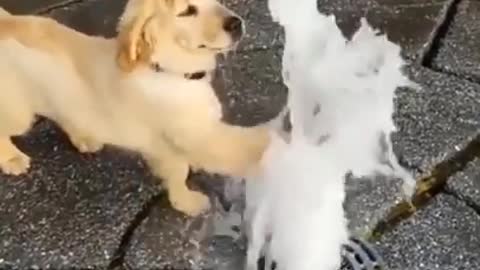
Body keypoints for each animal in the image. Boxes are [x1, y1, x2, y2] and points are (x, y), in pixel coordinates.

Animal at [0, 0, 270, 215]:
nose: (236, 23)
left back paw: (84, 136)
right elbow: (194, 166)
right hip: (20, 112)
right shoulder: (185, 142)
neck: (168, 72)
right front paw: (188, 202)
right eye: (187, 11)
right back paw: (12, 158)